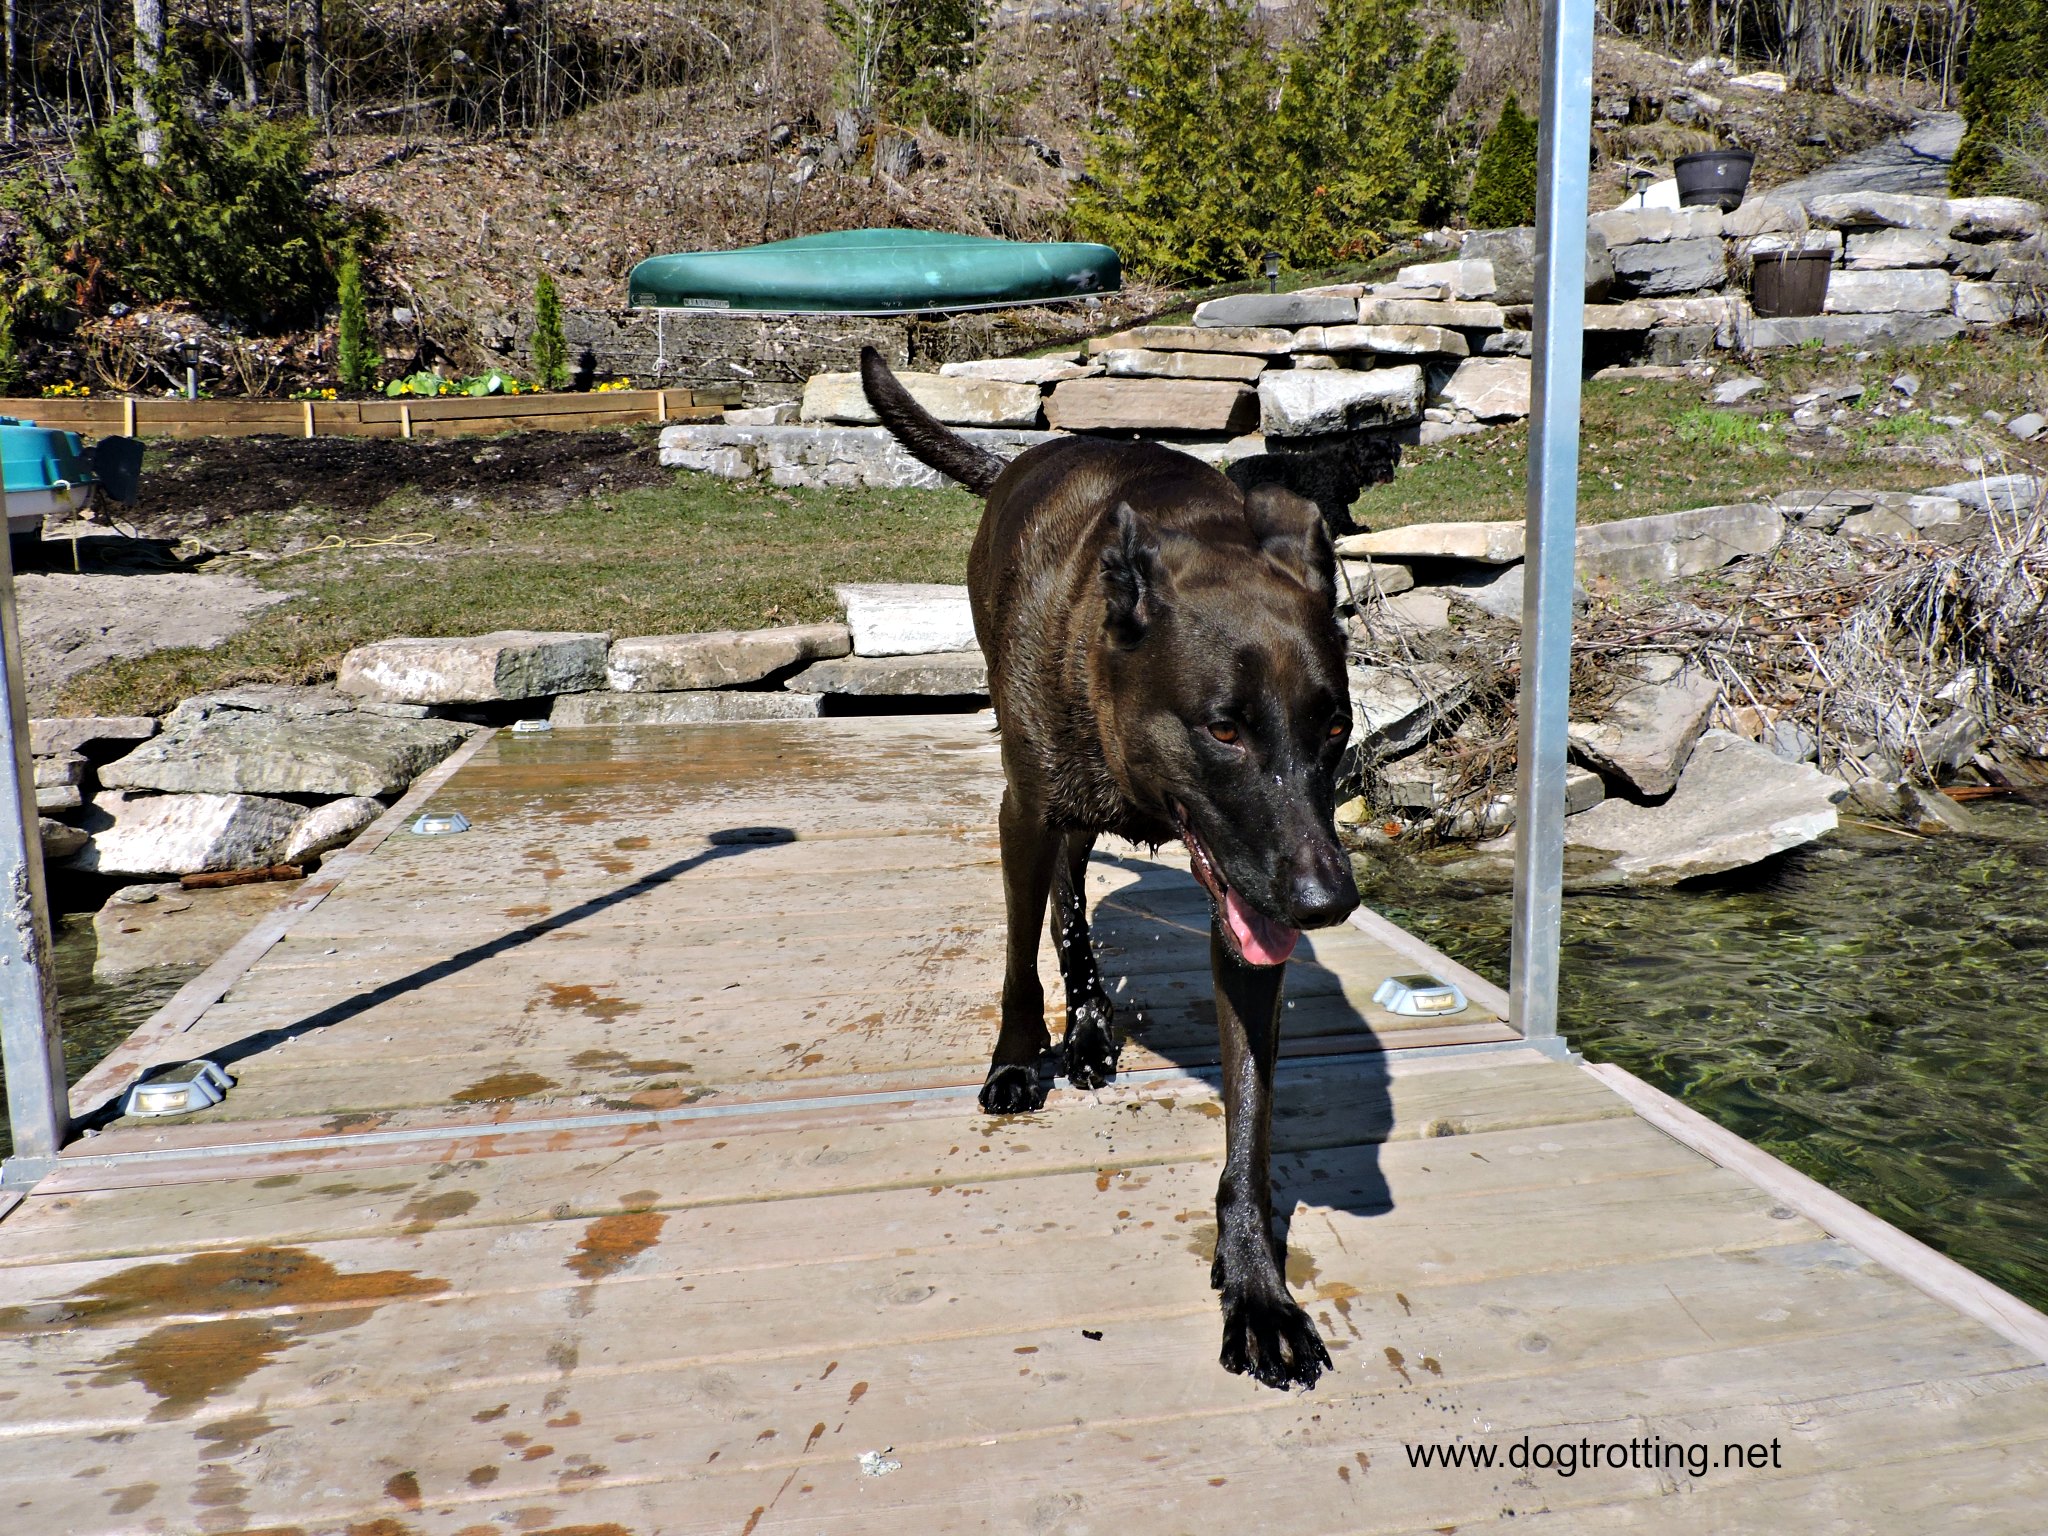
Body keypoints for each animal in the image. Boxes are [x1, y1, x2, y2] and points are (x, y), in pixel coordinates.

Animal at [861, 348, 1361, 1391]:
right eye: (1224, 728)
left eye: (1332, 726)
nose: (1327, 901)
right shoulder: (1023, 810)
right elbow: (1020, 953)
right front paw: (1018, 1058)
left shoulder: (1242, 900)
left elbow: (1250, 1127)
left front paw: (1256, 1288)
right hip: (1051, 798)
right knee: (1060, 899)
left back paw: (1091, 1025)